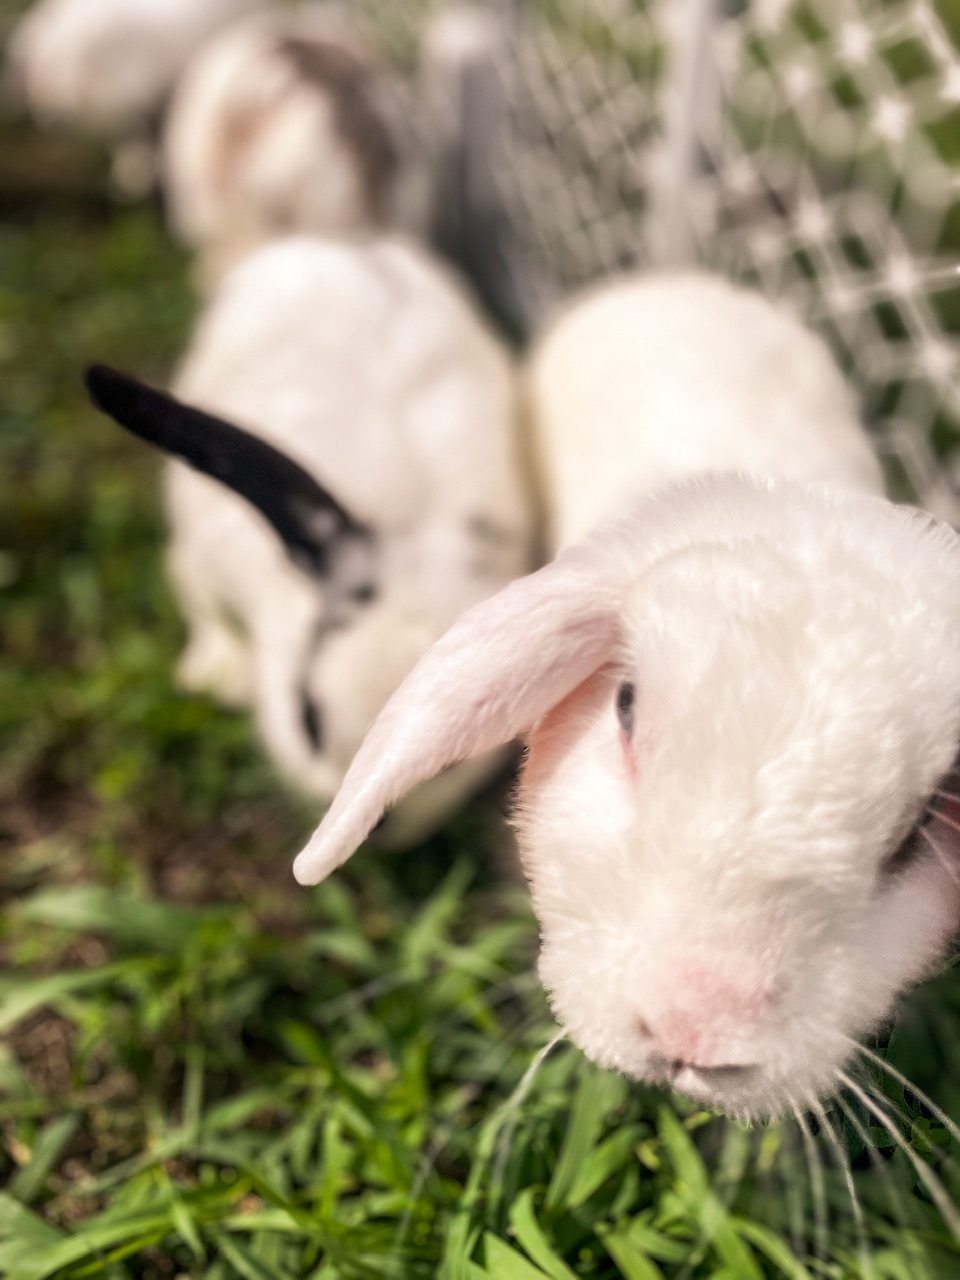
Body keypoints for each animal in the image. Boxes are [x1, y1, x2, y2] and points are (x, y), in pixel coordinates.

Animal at [85, 233, 533, 848]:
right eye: (308, 716)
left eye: (448, 758)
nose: (366, 824)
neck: (411, 526)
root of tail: (340, 246)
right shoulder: (206, 553)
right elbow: (200, 599)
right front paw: (218, 675)